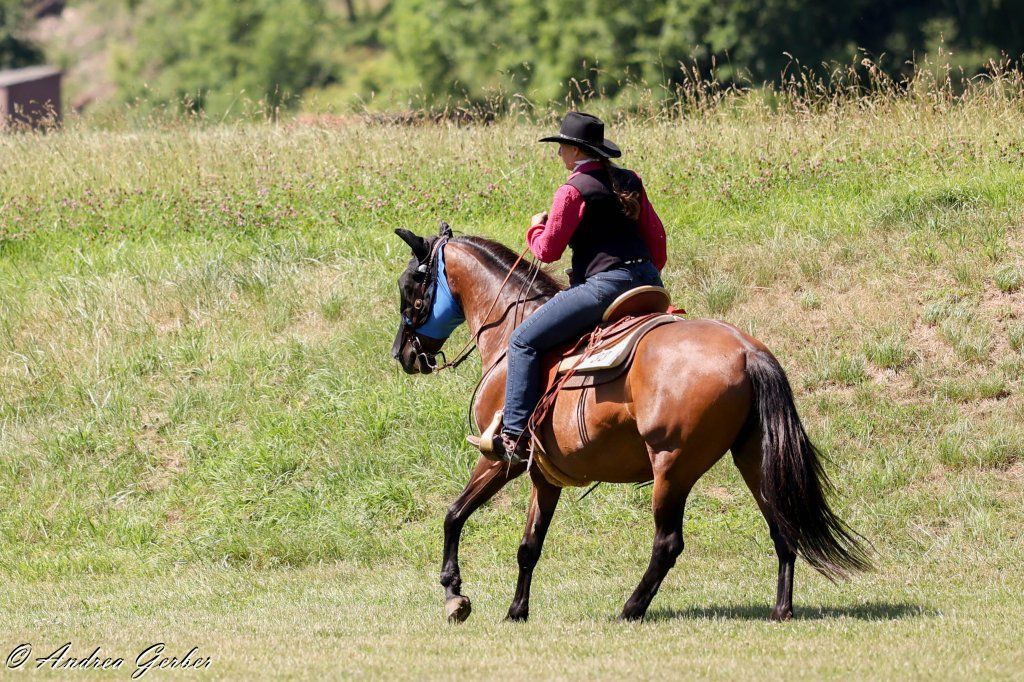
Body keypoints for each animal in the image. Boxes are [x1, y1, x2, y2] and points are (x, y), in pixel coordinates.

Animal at [391, 224, 870, 623]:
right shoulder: (544, 476)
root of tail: (747, 351)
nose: (403, 353)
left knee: (668, 543)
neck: (511, 333)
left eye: (410, 283)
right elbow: (529, 547)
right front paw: (516, 612)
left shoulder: (499, 460)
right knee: (781, 526)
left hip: (671, 466)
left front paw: (455, 596)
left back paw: (631, 608)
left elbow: (454, 515)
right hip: (754, 457)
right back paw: (781, 609)